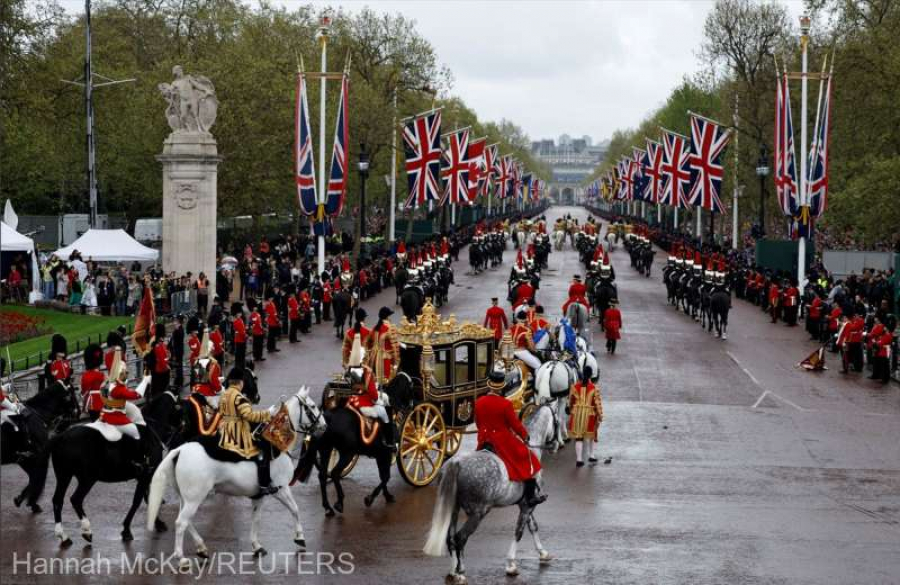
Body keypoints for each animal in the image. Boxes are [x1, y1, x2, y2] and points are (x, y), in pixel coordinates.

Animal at [148, 386, 326, 568]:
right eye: (312, 406)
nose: (324, 426)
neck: (276, 444)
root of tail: (180, 449)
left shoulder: (259, 495)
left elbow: (256, 519)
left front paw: (257, 546)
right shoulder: (281, 488)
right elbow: (295, 510)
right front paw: (300, 538)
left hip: (188, 498)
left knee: (186, 521)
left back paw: (201, 548)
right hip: (195, 498)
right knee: (181, 523)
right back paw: (182, 558)